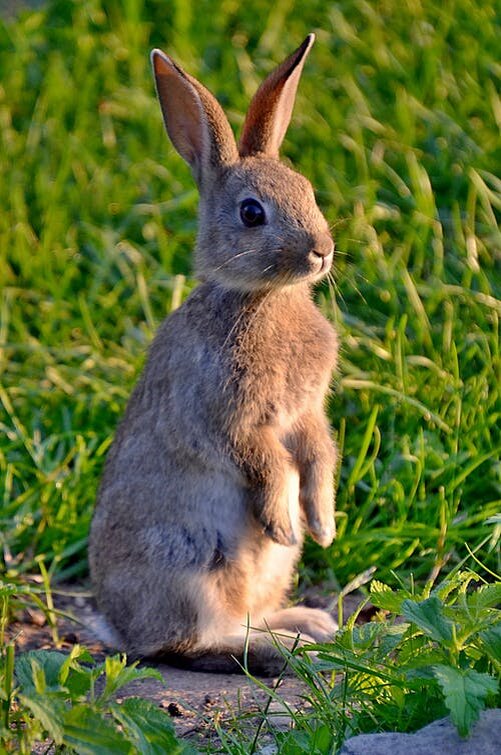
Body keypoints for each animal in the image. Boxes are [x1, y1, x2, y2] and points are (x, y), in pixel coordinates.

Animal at [89, 34, 340, 680]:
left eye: (308, 191)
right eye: (252, 213)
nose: (322, 251)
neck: (261, 297)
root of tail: (121, 628)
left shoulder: (306, 413)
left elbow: (318, 453)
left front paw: (322, 525)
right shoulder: (230, 416)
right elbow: (265, 460)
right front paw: (283, 521)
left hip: (259, 573)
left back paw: (309, 626)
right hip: (191, 560)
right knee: (188, 645)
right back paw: (282, 650)